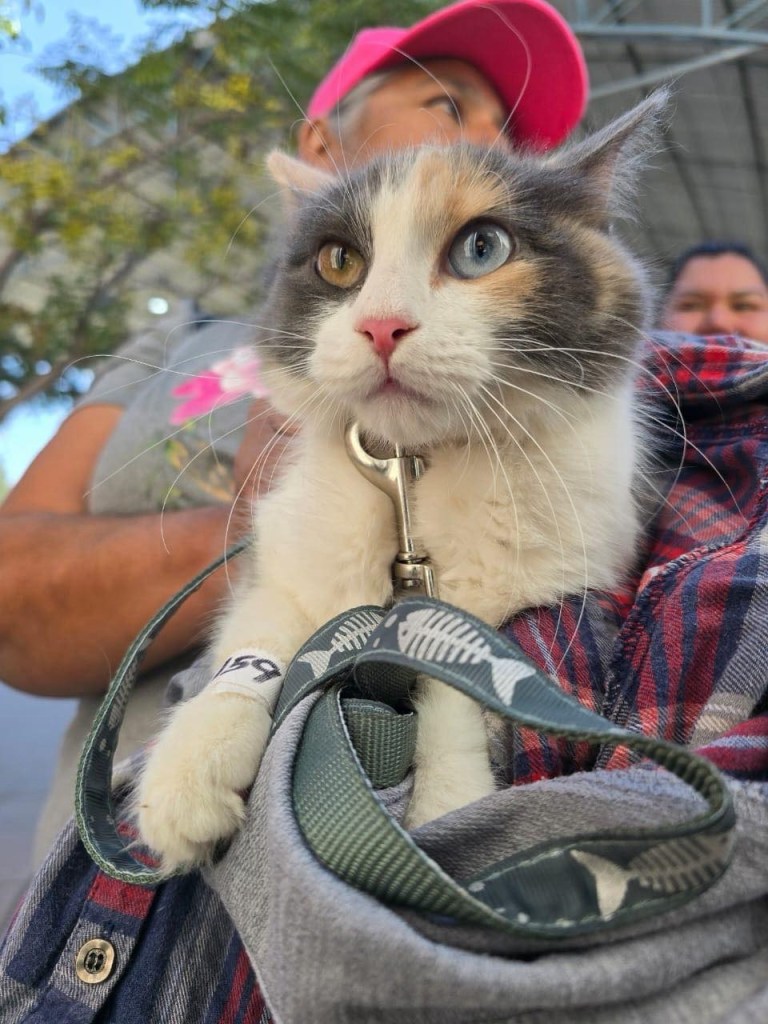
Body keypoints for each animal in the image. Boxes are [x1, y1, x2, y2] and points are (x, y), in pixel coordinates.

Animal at [136, 91, 667, 874]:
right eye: (338, 261)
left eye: (482, 248)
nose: (382, 326)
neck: (413, 477)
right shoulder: (296, 542)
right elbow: (261, 627)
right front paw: (187, 772)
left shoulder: (562, 567)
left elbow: (462, 671)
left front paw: (449, 806)